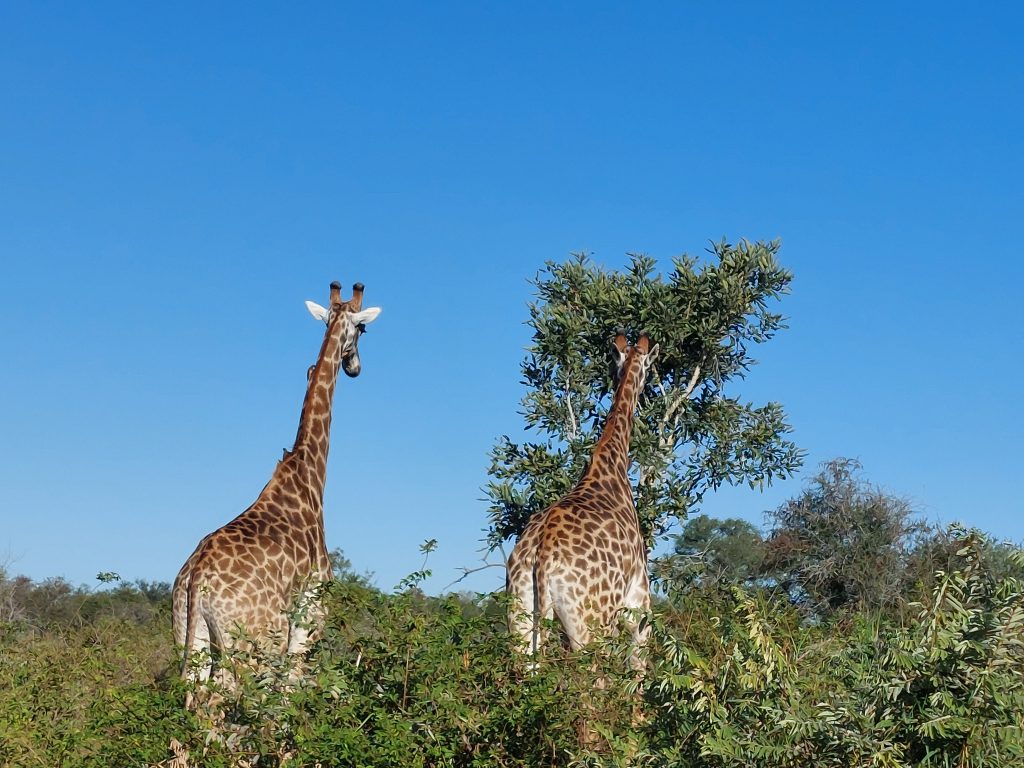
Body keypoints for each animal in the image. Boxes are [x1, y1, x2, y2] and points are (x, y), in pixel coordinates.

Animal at [172, 280, 380, 696]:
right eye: (363, 329)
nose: (355, 368)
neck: (309, 476)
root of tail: (196, 579)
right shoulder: (311, 615)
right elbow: (292, 693)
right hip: (255, 642)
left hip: (190, 637)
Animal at [507, 331, 659, 667]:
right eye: (648, 369)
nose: (647, 390)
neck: (612, 463)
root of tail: (542, 557)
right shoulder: (638, 606)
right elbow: (638, 672)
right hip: (593, 626)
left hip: (521, 616)